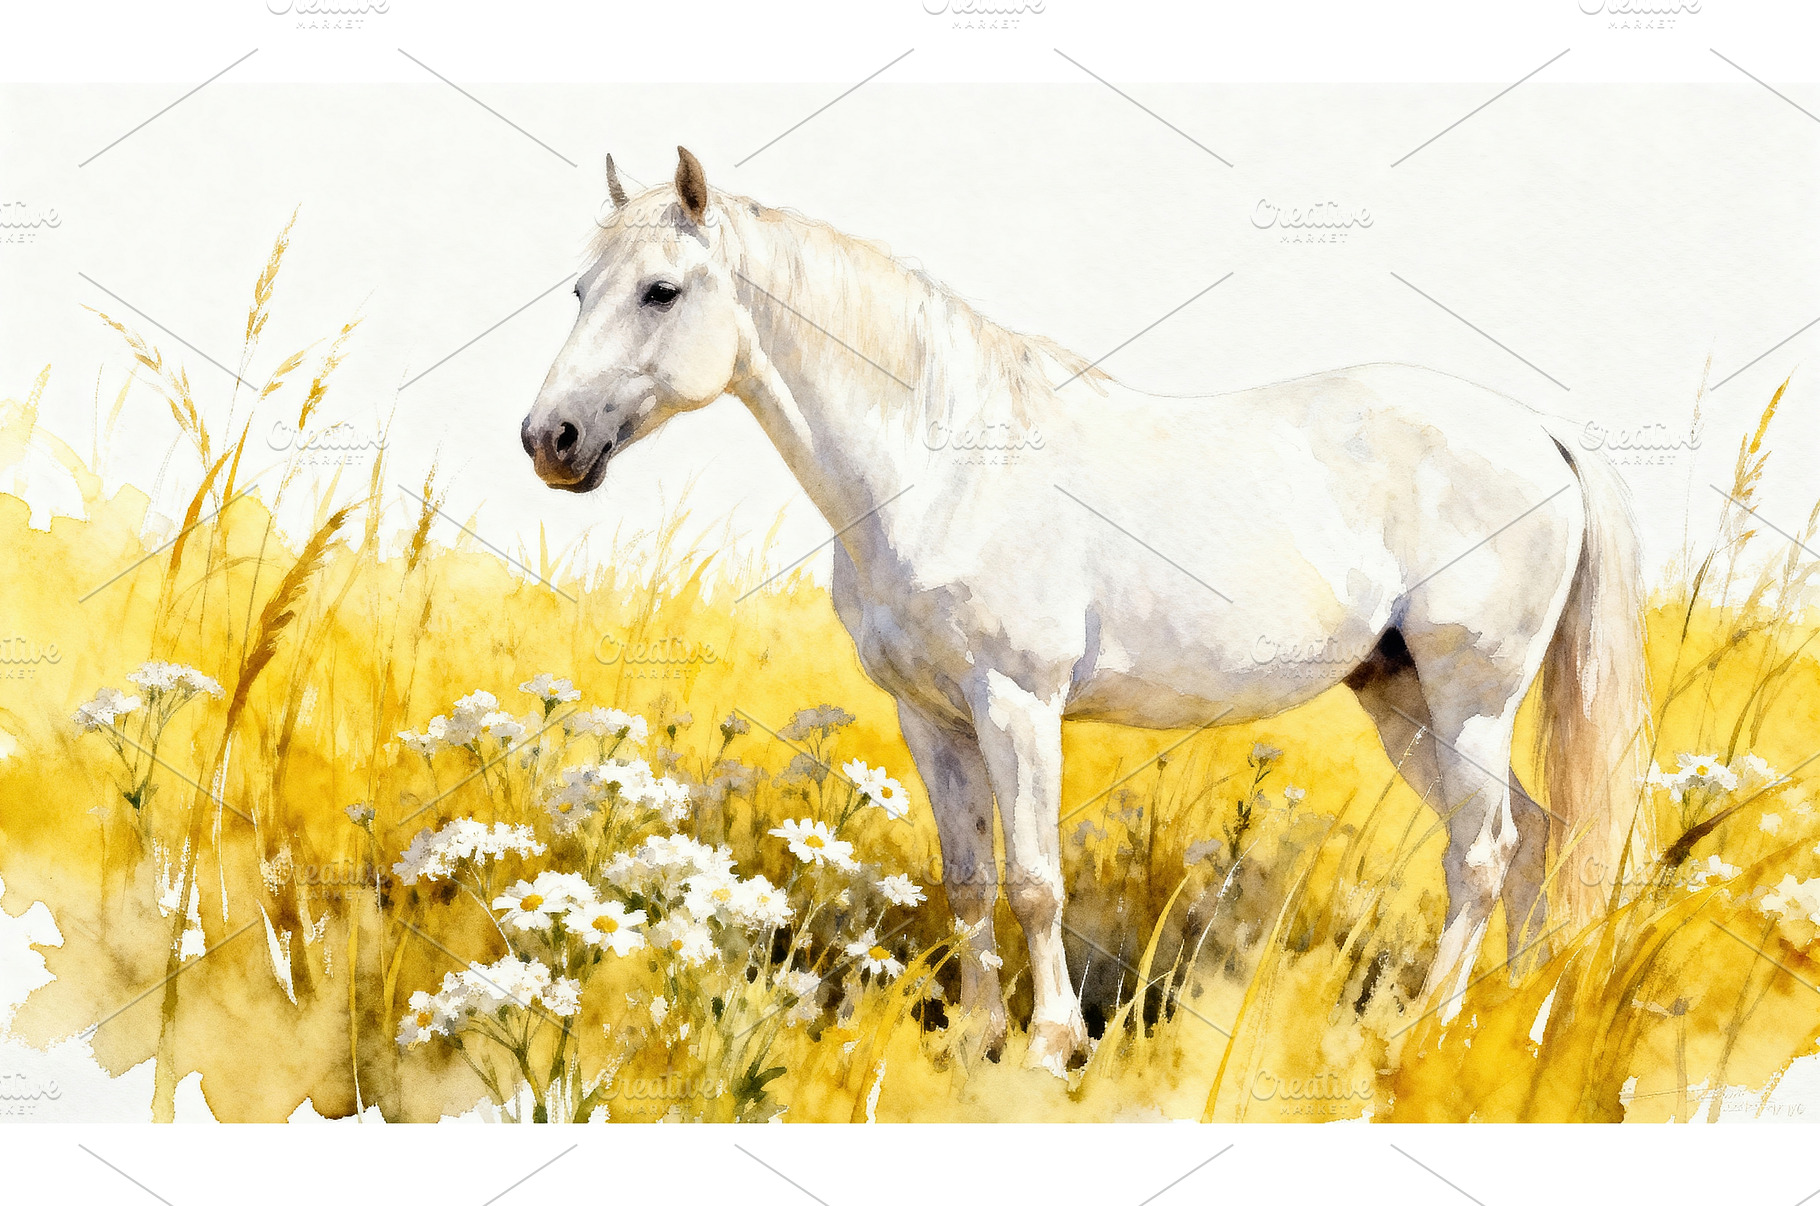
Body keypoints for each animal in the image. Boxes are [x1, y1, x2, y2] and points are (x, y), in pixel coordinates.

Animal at [523, 148, 1654, 1073]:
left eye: (662, 291)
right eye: (578, 290)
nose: (549, 439)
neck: (942, 467)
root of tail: (1537, 431)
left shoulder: (1016, 703)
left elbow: (1033, 879)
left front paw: (1049, 1045)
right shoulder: (929, 717)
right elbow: (967, 880)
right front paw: (977, 1039)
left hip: (1471, 695)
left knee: (1483, 852)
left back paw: (1425, 1026)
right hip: (1402, 697)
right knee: (1535, 840)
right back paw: (1509, 1016)